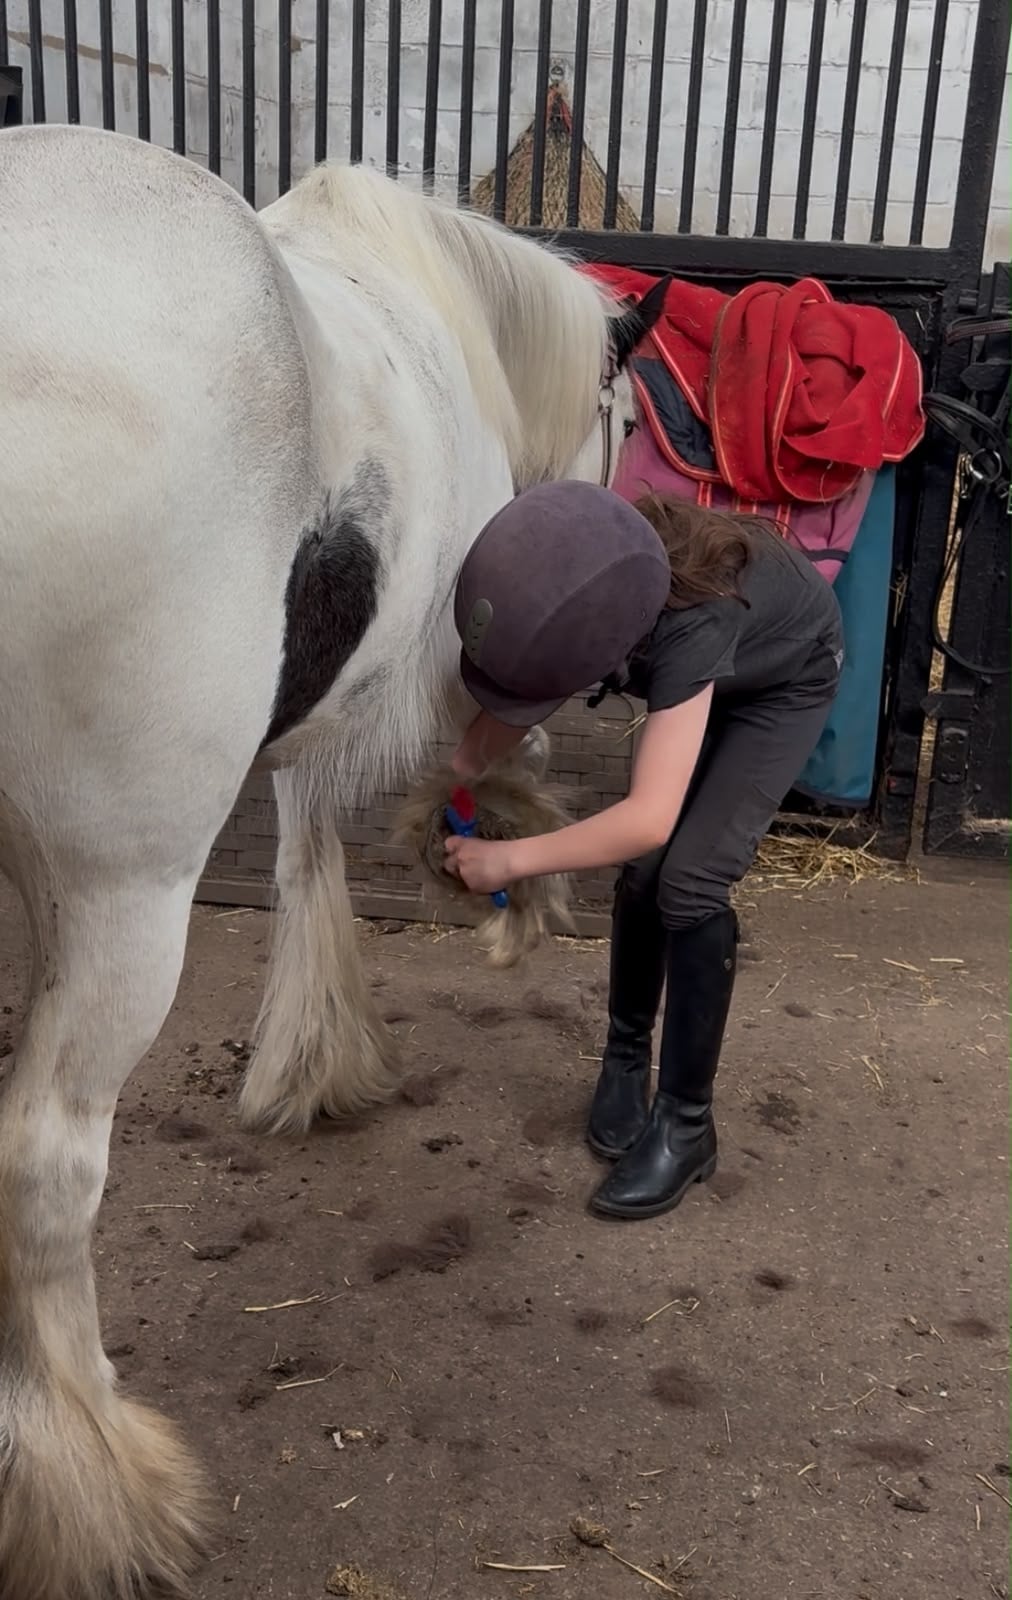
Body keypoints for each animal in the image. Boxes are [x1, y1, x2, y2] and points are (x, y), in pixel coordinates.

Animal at [0, 123, 665, 1600]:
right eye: (627, 415)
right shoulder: (460, 660)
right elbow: (460, 771)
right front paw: (512, 886)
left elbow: (307, 845)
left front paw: (311, 1056)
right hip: (129, 892)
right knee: (46, 1169)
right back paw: (98, 1490)